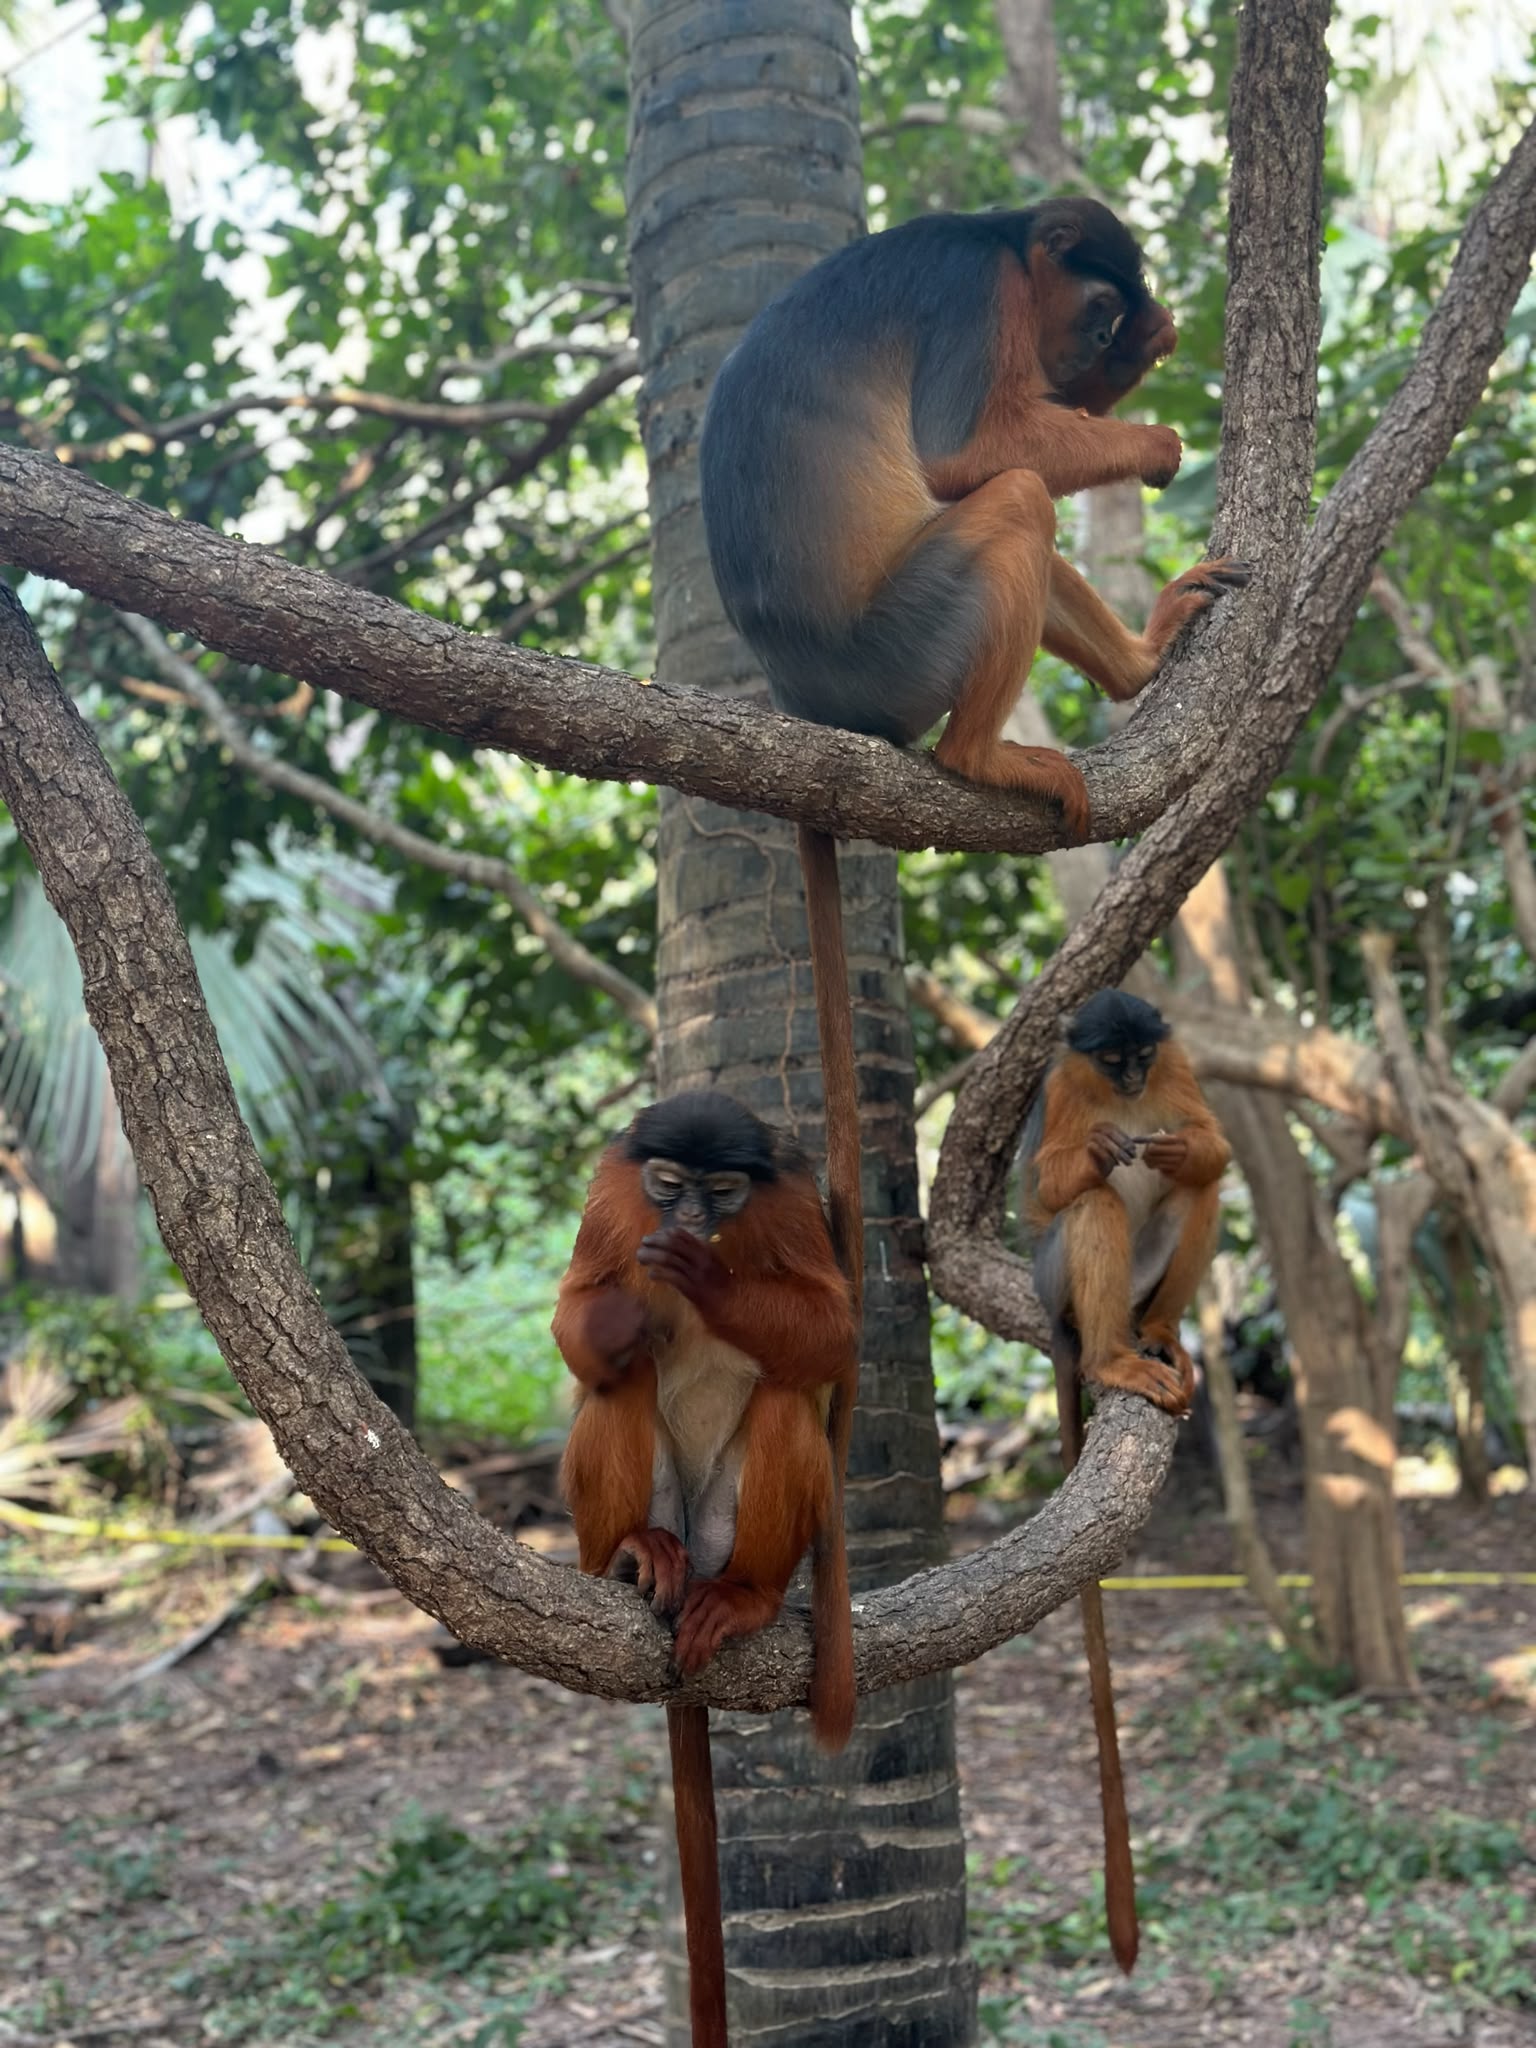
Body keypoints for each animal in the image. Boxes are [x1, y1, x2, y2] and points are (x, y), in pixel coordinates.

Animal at [553, 1090, 859, 2048]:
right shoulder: (615, 1193)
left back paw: (745, 1598)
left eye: (720, 1190)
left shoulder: (789, 1196)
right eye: (667, 1183)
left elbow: (835, 1331)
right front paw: (617, 1318)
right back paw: (628, 1556)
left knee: (789, 1398)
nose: (687, 1219)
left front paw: (709, 1281)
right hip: (646, 1520)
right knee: (618, 1382)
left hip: (723, 1535)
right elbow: (579, 1318)